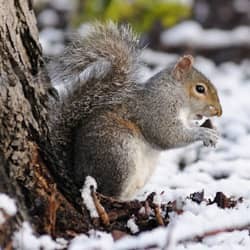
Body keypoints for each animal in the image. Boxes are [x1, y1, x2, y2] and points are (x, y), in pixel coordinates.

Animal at [47, 22, 223, 201]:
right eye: (200, 89)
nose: (219, 112)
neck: (172, 92)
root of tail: (77, 174)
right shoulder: (156, 109)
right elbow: (167, 135)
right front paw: (203, 133)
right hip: (119, 156)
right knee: (109, 192)